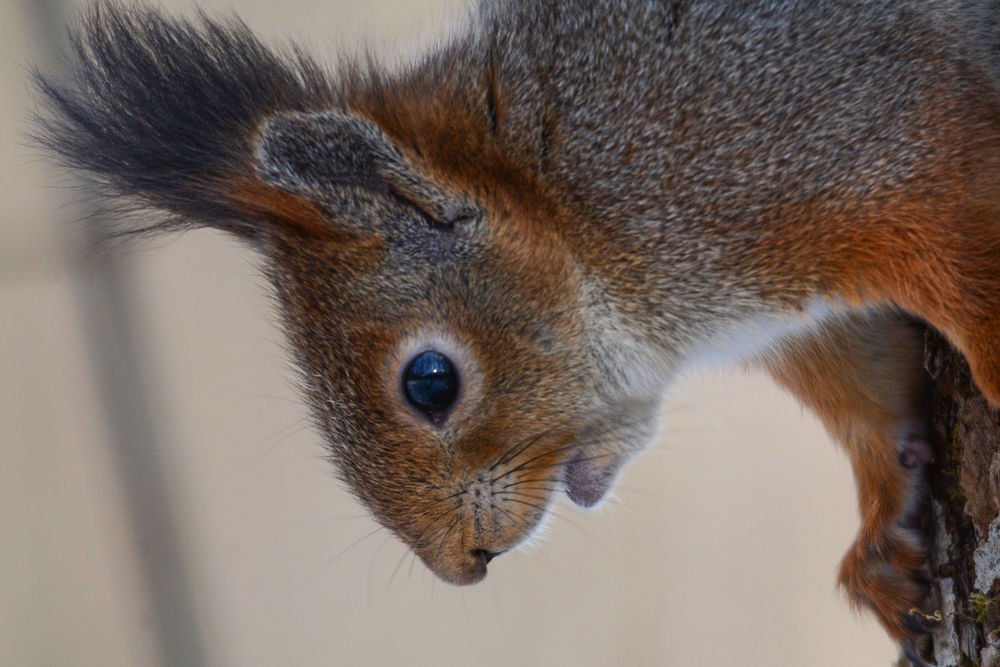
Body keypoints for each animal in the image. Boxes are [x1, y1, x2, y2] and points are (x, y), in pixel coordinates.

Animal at [34, 1, 1000, 664]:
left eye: (429, 381)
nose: (464, 563)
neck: (574, 201)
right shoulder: (805, 312)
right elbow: (875, 399)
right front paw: (886, 541)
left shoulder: (831, 132)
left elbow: (955, 232)